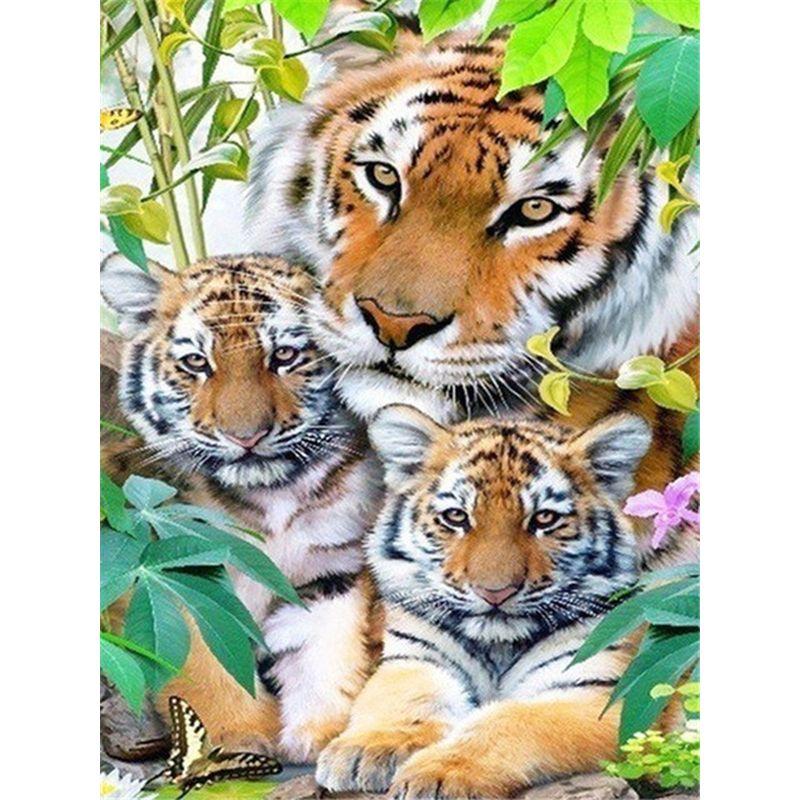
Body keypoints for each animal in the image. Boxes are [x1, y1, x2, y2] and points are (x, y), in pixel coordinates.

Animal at [100, 252, 382, 762]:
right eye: (196, 362)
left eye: (285, 356)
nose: (246, 436)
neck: (272, 496)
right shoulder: (177, 571)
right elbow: (209, 660)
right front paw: (239, 737)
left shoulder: (332, 569)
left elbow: (323, 646)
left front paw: (320, 731)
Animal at [316, 404, 653, 797]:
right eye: (456, 517)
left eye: (544, 519)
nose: (495, 591)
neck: (497, 645)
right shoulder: (415, 659)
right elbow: (408, 698)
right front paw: (366, 749)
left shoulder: (599, 695)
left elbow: (509, 721)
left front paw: (439, 775)